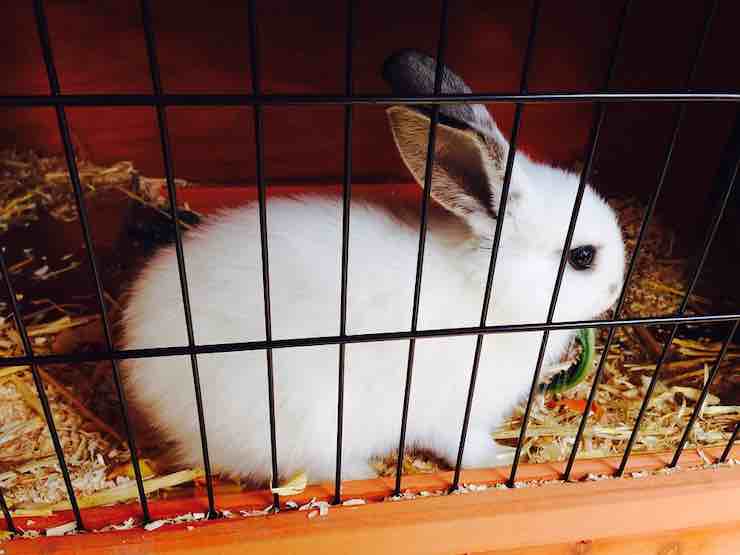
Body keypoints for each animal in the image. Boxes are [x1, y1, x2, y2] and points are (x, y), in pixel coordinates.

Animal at [122, 49, 625, 486]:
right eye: (583, 257)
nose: (617, 287)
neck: (490, 292)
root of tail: (141, 366)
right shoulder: (453, 408)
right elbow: (462, 445)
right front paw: (500, 457)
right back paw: (361, 474)